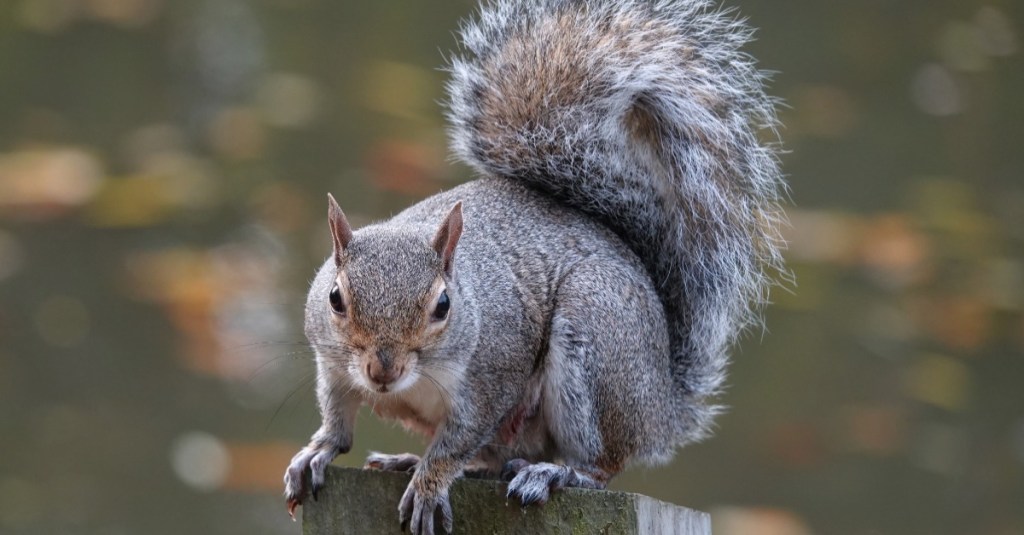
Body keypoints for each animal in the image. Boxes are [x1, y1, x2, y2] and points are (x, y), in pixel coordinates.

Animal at [280, 1, 782, 528]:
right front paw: (318, 451)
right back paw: (412, 460)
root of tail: (662, 408)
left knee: (600, 464)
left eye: (443, 306)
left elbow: (457, 442)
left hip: (596, 337)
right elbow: (337, 417)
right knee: (494, 458)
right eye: (335, 298)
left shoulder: (494, 375)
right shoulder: (332, 364)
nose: (382, 371)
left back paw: (553, 473)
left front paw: (429, 485)